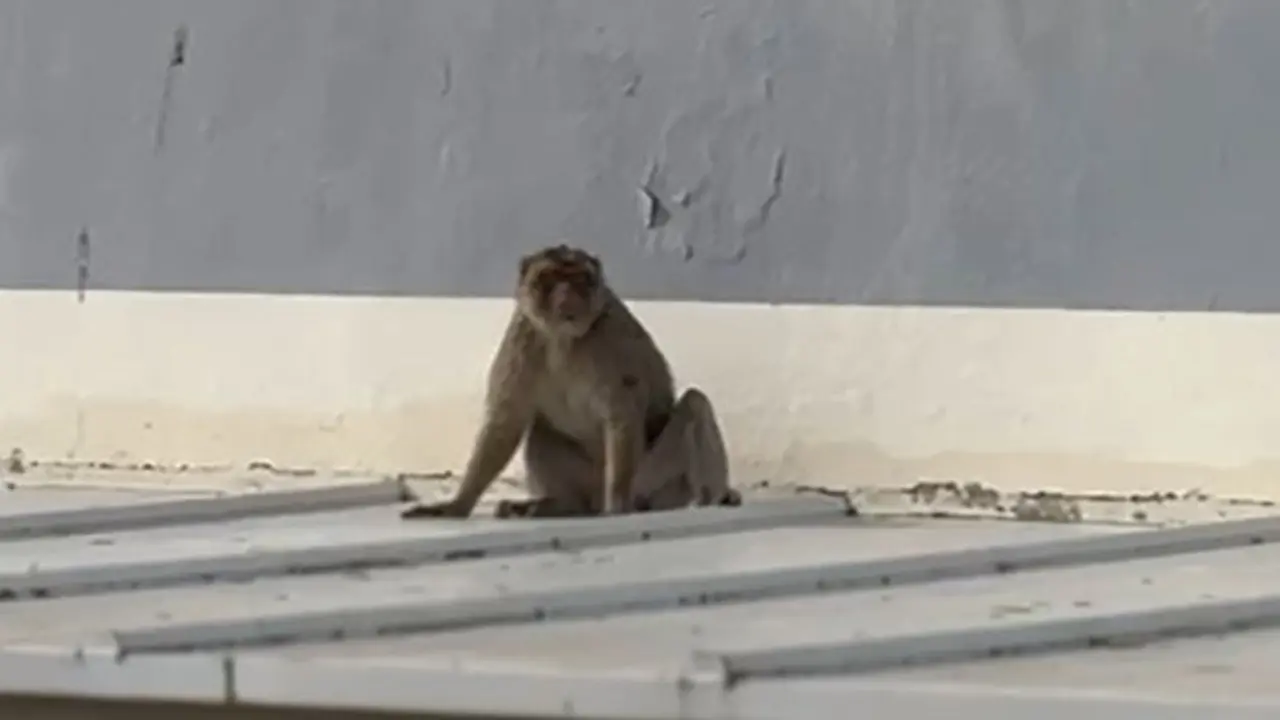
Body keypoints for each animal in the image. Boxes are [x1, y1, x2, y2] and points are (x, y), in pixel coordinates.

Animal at [401, 243, 741, 520]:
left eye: (579, 279)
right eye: (549, 278)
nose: (566, 295)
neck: (563, 340)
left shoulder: (611, 341)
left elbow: (622, 413)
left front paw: (617, 504)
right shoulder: (524, 336)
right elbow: (506, 422)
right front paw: (457, 505)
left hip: (653, 479)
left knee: (695, 403)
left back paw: (703, 500)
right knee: (539, 430)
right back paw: (558, 505)